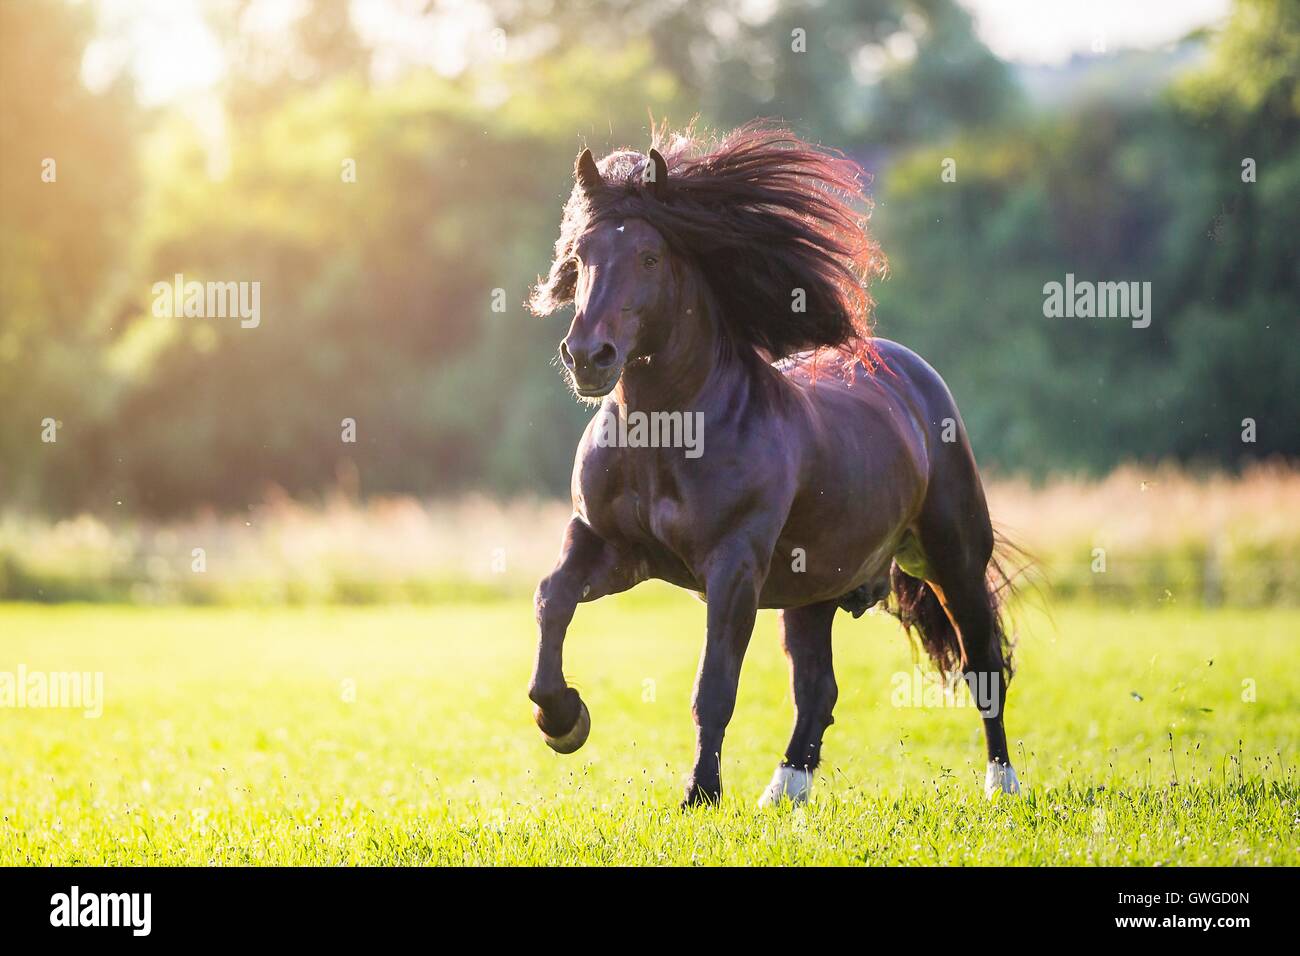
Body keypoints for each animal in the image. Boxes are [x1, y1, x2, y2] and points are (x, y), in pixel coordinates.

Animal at [522, 123, 1019, 806]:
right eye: (580, 254)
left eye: (650, 257)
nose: (587, 356)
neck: (668, 435)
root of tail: (913, 374)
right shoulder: (611, 548)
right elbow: (552, 599)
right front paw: (563, 719)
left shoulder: (733, 566)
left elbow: (715, 685)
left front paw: (699, 795)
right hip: (813, 591)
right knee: (818, 688)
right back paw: (784, 791)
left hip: (953, 558)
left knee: (983, 666)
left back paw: (1003, 785)